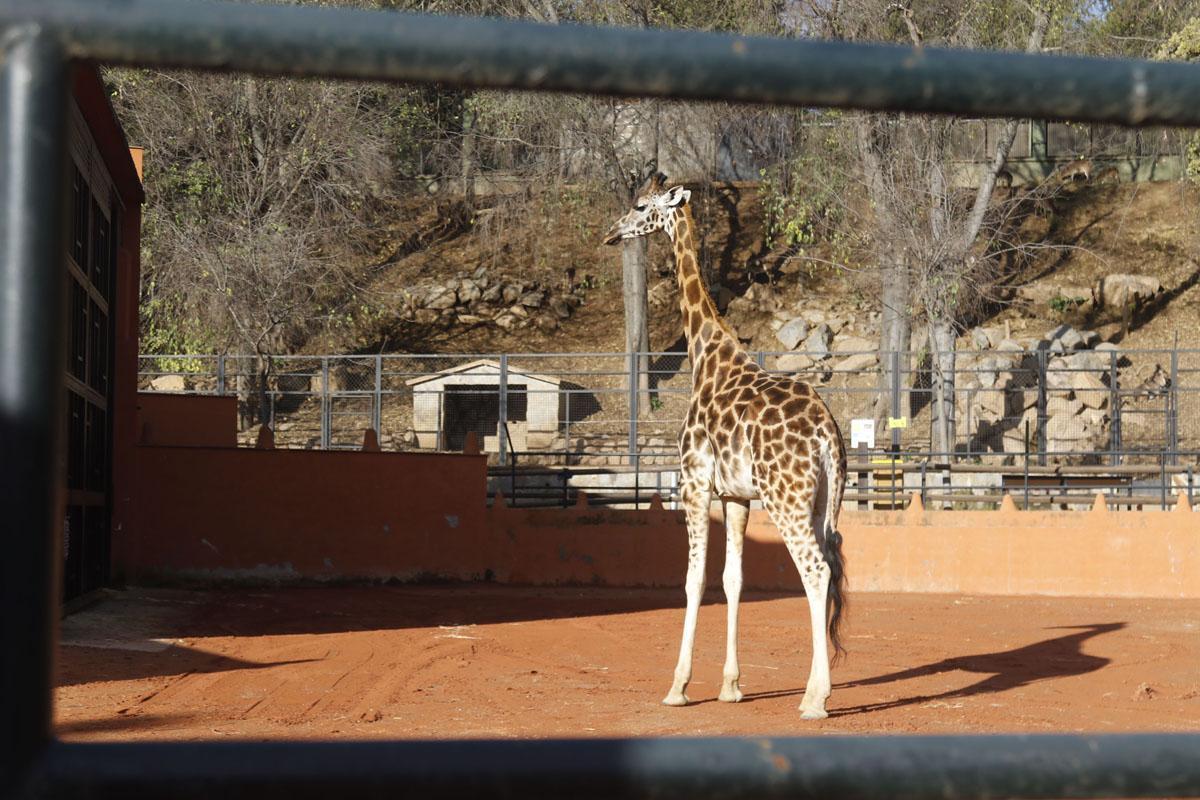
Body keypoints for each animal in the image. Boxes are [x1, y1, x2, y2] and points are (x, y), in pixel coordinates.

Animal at [603, 174, 848, 720]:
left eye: (640, 206)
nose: (611, 233)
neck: (704, 353)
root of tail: (827, 435)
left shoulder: (693, 482)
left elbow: (693, 580)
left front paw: (678, 686)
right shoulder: (737, 496)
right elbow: (733, 579)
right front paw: (731, 685)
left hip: (787, 500)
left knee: (815, 570)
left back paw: (815, 699)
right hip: (825, 501)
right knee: (829, 565)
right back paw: (812, 690)